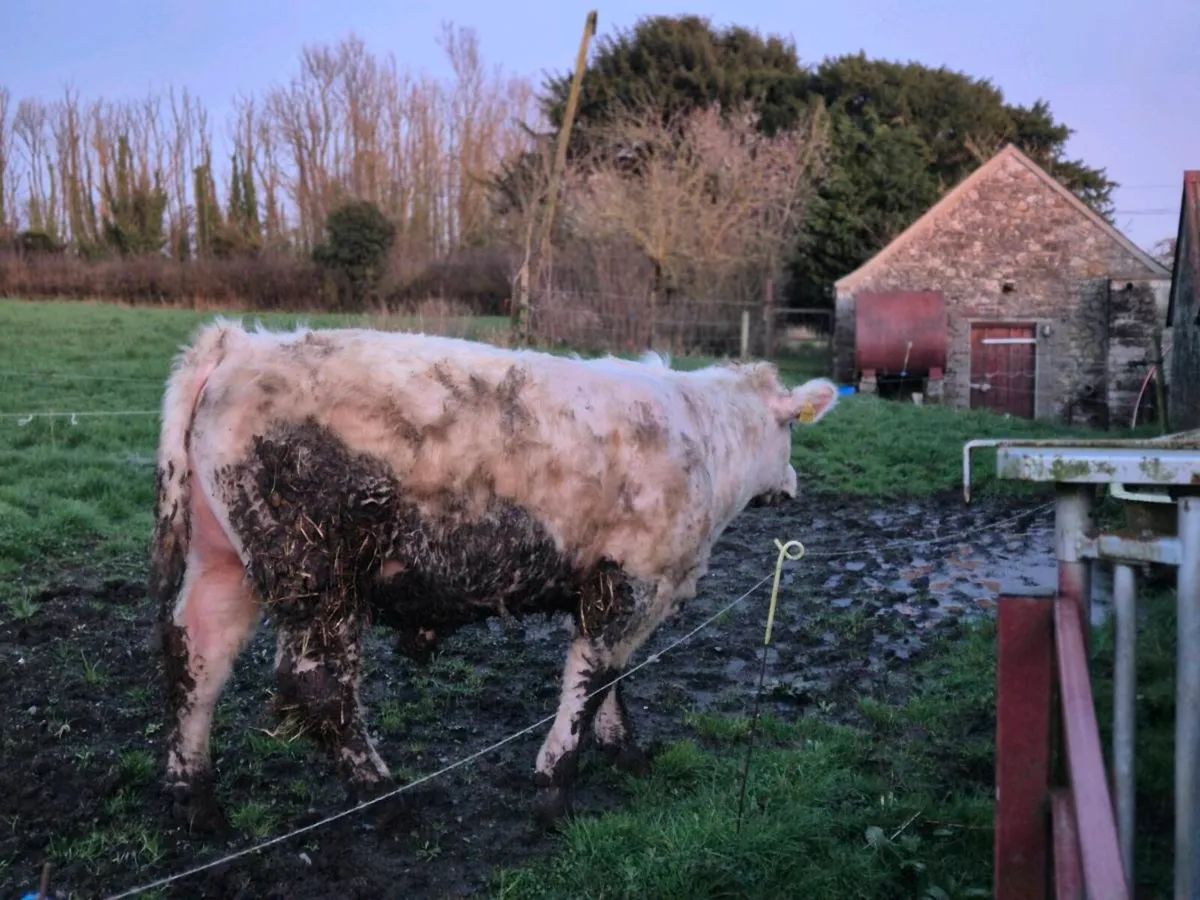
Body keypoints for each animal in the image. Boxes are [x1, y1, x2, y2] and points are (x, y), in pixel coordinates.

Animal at [148, 319, 838, 831]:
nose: (794, 485)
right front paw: (556, 789)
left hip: (224, 559)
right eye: (791, 434)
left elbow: (617, 677)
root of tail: (241, 342)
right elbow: (591, 679)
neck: (706, 441)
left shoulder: (623, 587)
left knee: (196, 653)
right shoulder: (634, 581)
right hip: (318, 572)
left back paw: (194, 798)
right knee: (316, 682)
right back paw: (384, 797)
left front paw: (625, 753)